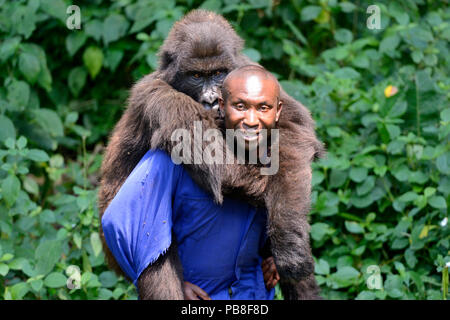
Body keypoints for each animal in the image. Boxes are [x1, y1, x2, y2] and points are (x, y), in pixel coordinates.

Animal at [98, 10, 326, 300]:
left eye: (218, 73)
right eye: (196, 75)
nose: (211, 99)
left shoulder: (253, 69)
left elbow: (293, 130)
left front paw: (289, 237)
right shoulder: (153, 93)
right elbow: (216, 162)